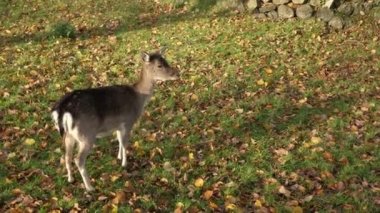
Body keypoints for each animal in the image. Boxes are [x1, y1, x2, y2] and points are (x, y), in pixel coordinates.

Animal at [50, 48, 180, 191]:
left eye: (166, 61)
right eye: (159, 65)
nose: (177, 74)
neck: (139, 98)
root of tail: (62, 109)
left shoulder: (118, 125)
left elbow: (119, 140)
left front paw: (118, 157)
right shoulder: (128, 121)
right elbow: (125, 143)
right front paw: (124, 163)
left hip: (68, 135)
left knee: (66, 156)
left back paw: (70, 179)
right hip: (86, 134)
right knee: (78, 159)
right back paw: (90, 187)